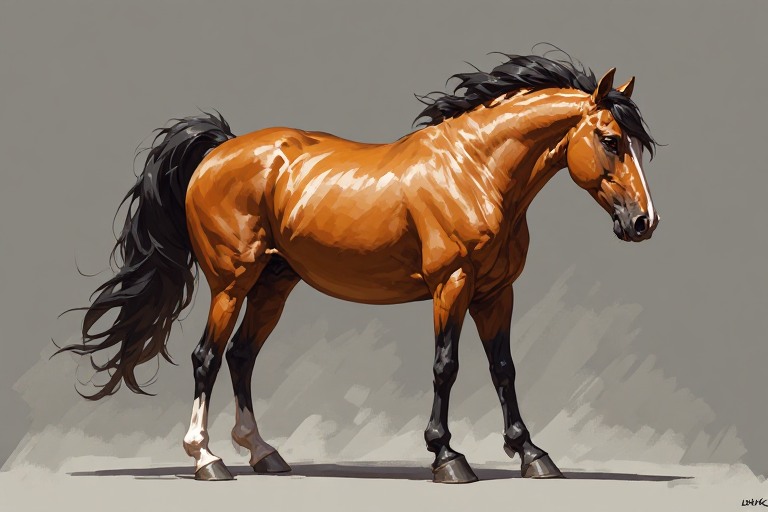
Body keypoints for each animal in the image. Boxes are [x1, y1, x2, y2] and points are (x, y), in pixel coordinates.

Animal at [58, 52, 659, 483]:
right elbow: (446, 366)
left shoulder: (496, 292)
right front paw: (447, 457)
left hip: (274, 285)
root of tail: (219, 150)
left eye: (635, 143)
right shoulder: (452, 286)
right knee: (206, 358)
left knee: (241, 357)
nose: (644, 222)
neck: (475, 172)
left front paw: (531, 452)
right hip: (231, 282)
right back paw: (208, 461)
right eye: (610, 140)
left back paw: (264, 453)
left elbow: (504, 368)